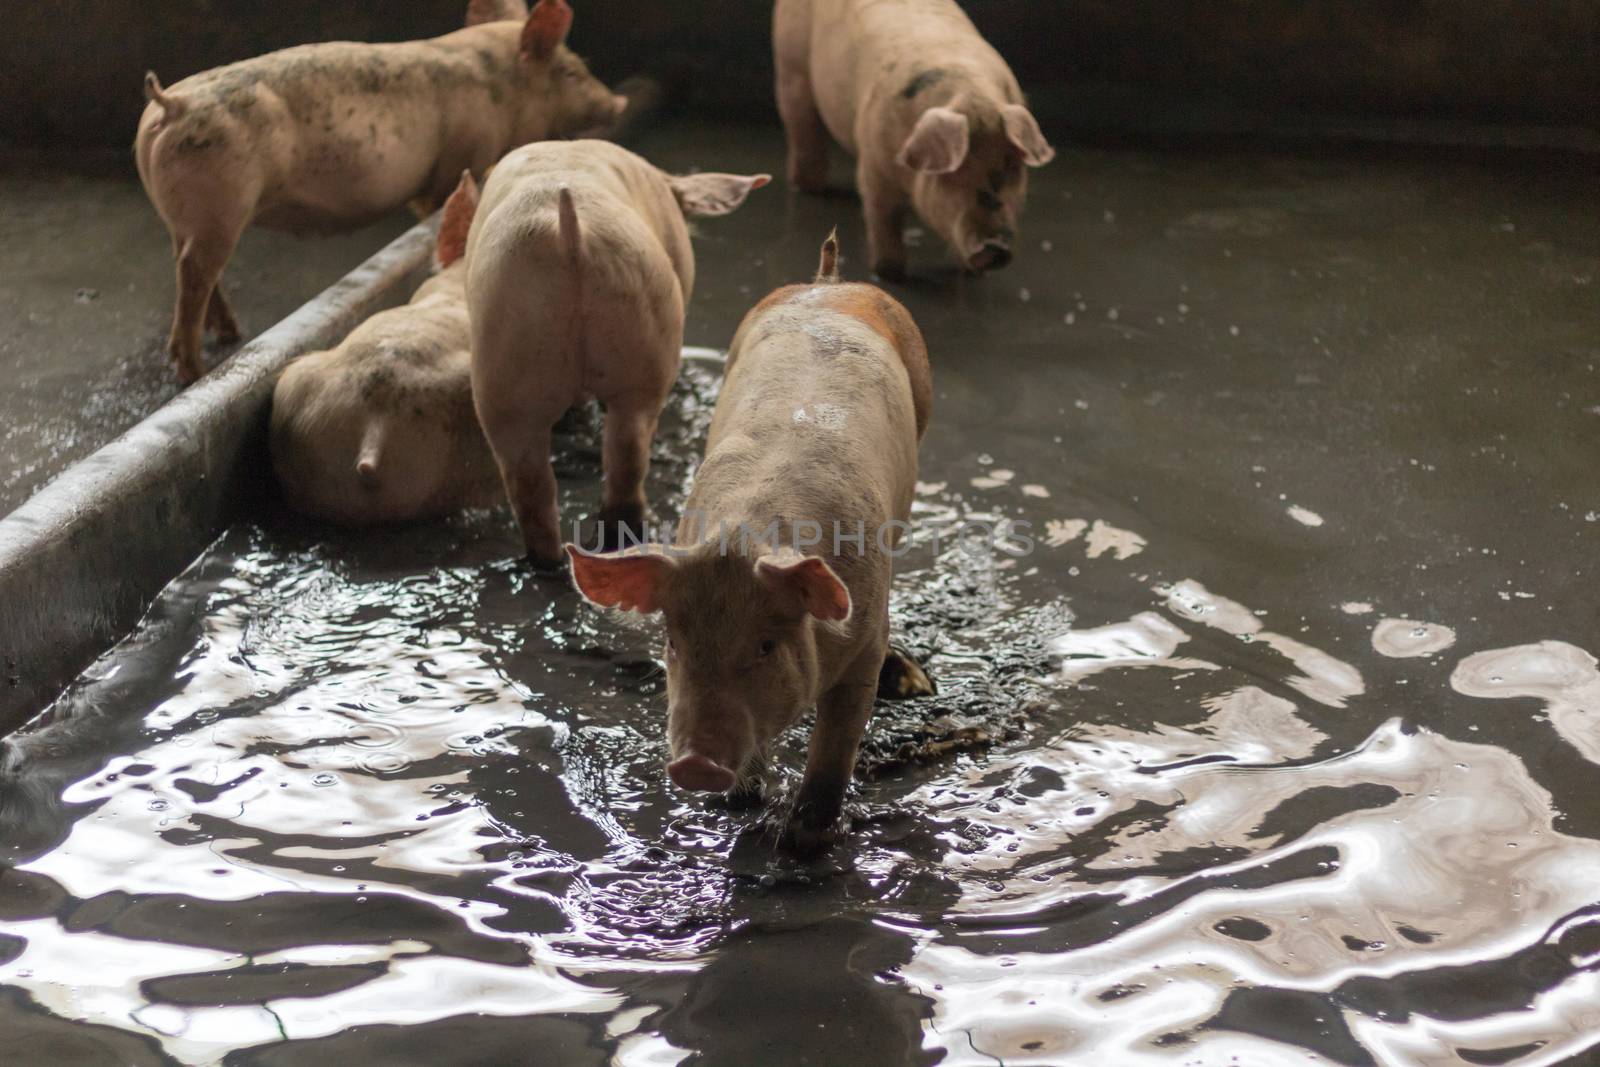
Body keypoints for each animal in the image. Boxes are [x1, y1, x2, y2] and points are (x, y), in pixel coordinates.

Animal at [136, 0, 624, 383]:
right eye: (570, 71)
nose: (619, 103)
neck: (503, 88)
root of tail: (172, 104)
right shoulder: (459, 158)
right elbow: (442, 201)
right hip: (222, 205)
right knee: (195, 271)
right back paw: (194, 369)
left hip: (187, 213)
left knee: (187, 262)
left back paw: (230, 333)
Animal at [464, 141, 768, 566]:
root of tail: (567, 231)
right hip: (641, 323)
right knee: (628, 453)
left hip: (508, 351)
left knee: (532, 485)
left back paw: (555, 560)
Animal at [566, 235, 934, 857]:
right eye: (673, 642)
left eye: (765, 645)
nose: (694, 764)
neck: (745, 536)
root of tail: (830, 282)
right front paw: (740, 804)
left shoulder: (864, 639)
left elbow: (836, 747)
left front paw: (804, 841)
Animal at [771, 0, 1056, 279]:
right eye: (955, 171)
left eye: (1012, 166)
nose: (994, 248)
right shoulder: (873, 162)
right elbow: (884, 215)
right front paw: (888, 272)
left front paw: (970, 274)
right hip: (790, 65)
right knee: (802, 126)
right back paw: (807, 187)